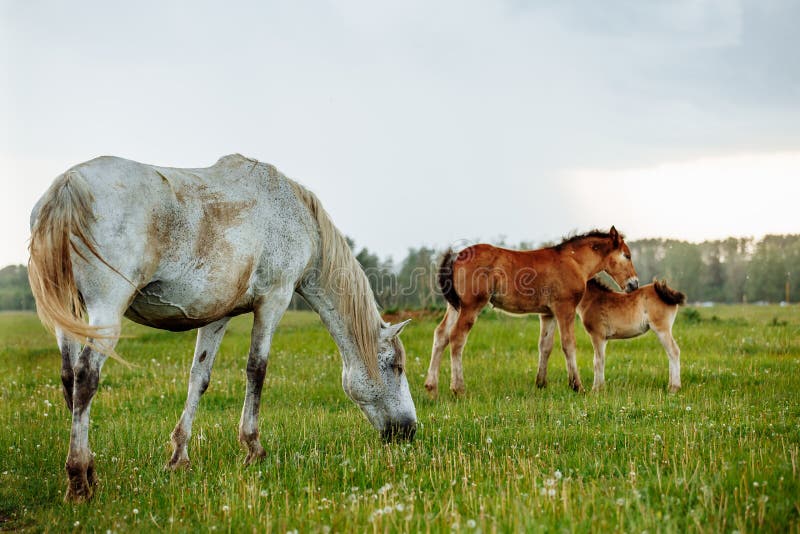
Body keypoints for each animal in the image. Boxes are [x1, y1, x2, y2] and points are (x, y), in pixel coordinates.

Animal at [28, 154, 417, 502]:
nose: (410, 431)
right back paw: (80, 480)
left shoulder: (216, 317)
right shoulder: (273, 301)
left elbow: (199, 378)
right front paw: (253, 448)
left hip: (70, 314)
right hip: (106, 311)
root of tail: (66, 187)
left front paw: (179, 457)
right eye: (396, 367)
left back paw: (90, 469)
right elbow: (256, 370)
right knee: (85, 377)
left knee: (69, 377)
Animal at [424, 227, 639, 397]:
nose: (634, 284)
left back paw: (431, 387)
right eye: (627, 255)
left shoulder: (548, 314)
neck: (574, 261)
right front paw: (577, 386)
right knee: (456, 338)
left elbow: (545, 346)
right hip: (471, 306)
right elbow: (568, 344)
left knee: (440, 335)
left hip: (455, 306)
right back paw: (458, 388)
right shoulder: (565, 308)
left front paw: (541, 383)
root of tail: (456, 256)